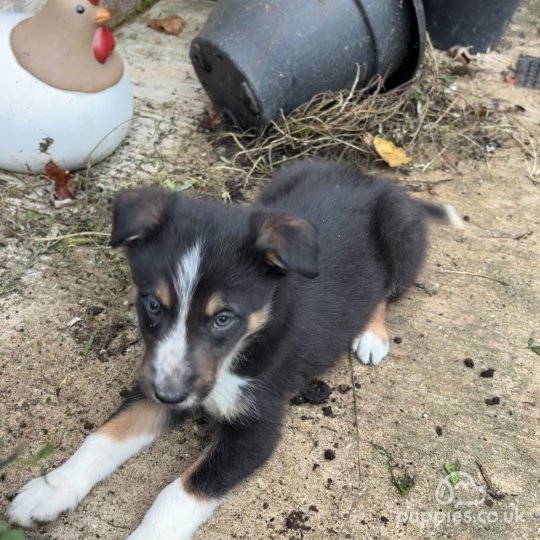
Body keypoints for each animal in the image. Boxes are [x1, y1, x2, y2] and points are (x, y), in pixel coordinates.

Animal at [8, 161, 460, 540]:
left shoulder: (256, 428)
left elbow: (180, 492)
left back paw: (371, 335)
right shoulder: (152, 382)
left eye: (223, 318)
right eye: (152, 304)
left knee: (386, 289)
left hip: (401, 237)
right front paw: (50, 489)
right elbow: (102, 438)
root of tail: (373, 180)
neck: (244, 345)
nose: (170, 394)